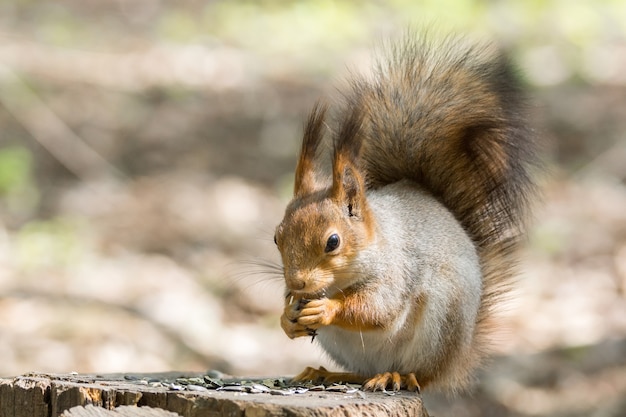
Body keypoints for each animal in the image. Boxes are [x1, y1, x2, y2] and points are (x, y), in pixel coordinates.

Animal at [272, 34, 536, 392]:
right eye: (277, 238)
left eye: (333, 242)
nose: (297, 283)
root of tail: (457, 360)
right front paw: (287, 318)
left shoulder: (395, 271)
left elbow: (377, 309)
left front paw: (326, 308)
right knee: (362, 373)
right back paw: (330, 373)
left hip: (441, 324)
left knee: (421, 374)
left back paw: (397, 375)